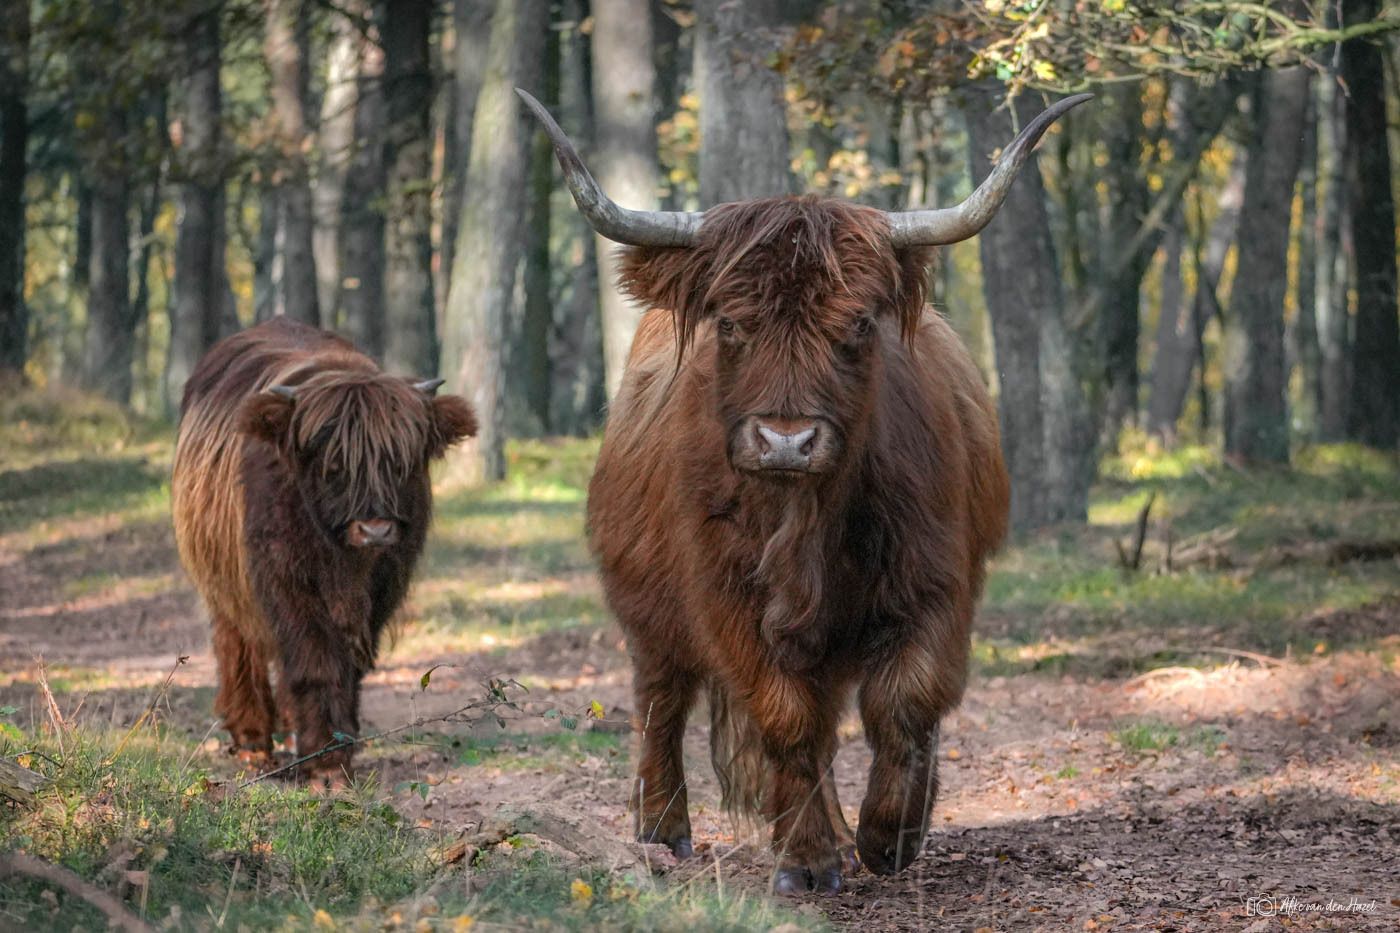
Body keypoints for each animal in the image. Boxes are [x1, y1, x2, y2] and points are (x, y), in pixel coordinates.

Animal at [171, 318, 476, 789]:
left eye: (400, 461)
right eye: (333, 463)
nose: (375, 528)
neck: (344, 562)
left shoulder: (382, 591)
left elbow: (347, 668)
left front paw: (336, 748)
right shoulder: (286, 582)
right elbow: (315, 662)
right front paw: (325, 763)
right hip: (223, 578)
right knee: (238, 644)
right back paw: (253, 741)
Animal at [519, 88, 1089, 892]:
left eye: (857, 325)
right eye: (732, 323)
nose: (786, 440)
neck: (805, 524)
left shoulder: (936, 584)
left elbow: (905, 703)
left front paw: (889, 834)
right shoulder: (727, 598)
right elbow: (784, 717)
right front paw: (807, 858)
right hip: (646, 608)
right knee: (662, 701)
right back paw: (664, 828)